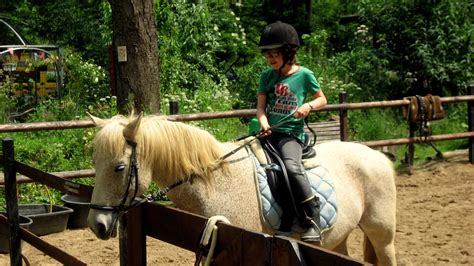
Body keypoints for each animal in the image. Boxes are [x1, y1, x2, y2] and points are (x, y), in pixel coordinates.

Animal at [88, 113, 396, 264]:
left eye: (119, 167)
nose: (97, 224)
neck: (215, 182)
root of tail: (377, 156)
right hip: (337, 237)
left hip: (382, 236)